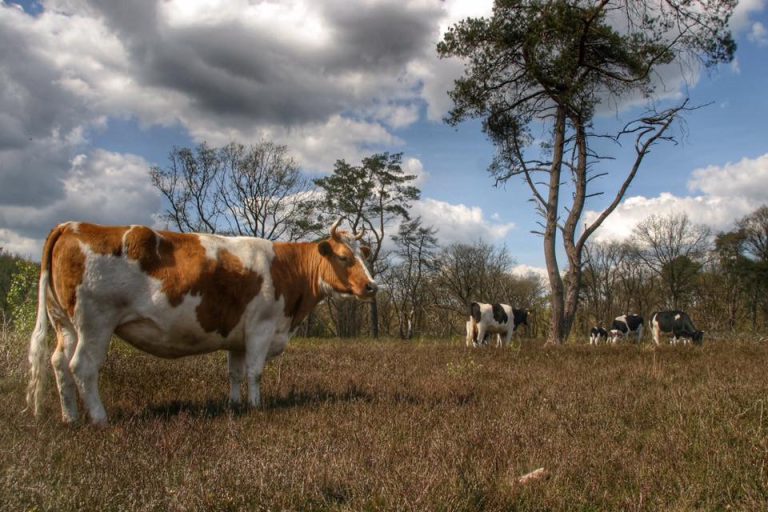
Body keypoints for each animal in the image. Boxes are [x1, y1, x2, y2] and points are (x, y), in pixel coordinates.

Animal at [28, 219, 376, 424]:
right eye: (344, 257)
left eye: (365, 256)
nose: (372, 286)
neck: (286, 269)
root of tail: (73, 225)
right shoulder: (261, 328)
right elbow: (254, 372)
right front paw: (256, 407)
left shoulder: (237, 337)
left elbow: (235, 373)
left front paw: (235, 405)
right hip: (95, 323)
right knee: (82, 367)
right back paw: (100, 419)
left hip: (66, 324)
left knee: (58, 363)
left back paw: (70, 418)